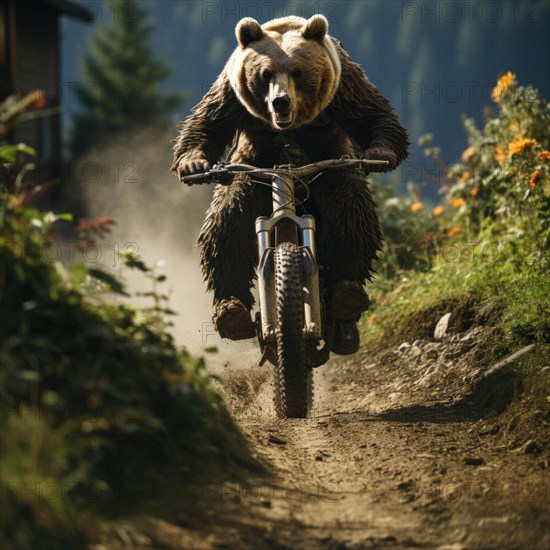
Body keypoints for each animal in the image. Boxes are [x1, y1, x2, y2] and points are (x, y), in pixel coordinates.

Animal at [172, 16, 410, 354]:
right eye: (265, 73)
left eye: (298, 71)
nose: (280, 101)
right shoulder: (231, 92)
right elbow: (207, 123)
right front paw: (193, 163)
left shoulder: (344, 84)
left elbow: (374, 114)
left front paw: (381, 153)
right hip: (248, 175)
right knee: (227, 226)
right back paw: (231, 311)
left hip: (332, 170)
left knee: (350, 213)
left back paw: (347, 298)